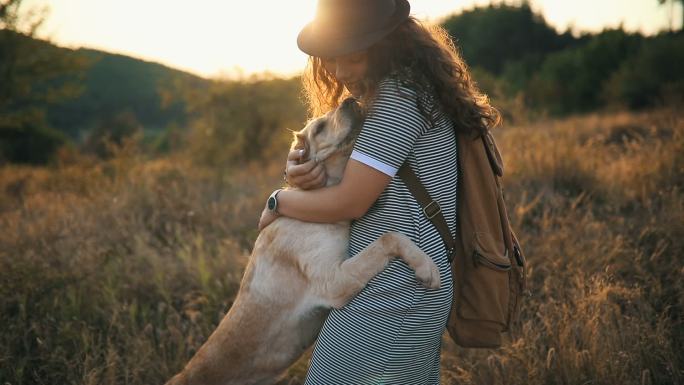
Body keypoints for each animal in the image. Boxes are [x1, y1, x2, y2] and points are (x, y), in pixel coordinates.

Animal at [168, 97, 440, 384]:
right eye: (319, 128)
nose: (349, 100)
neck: (315, 199)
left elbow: (388, 236)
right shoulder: (335, 280)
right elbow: (389, 237)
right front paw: (426, 266)